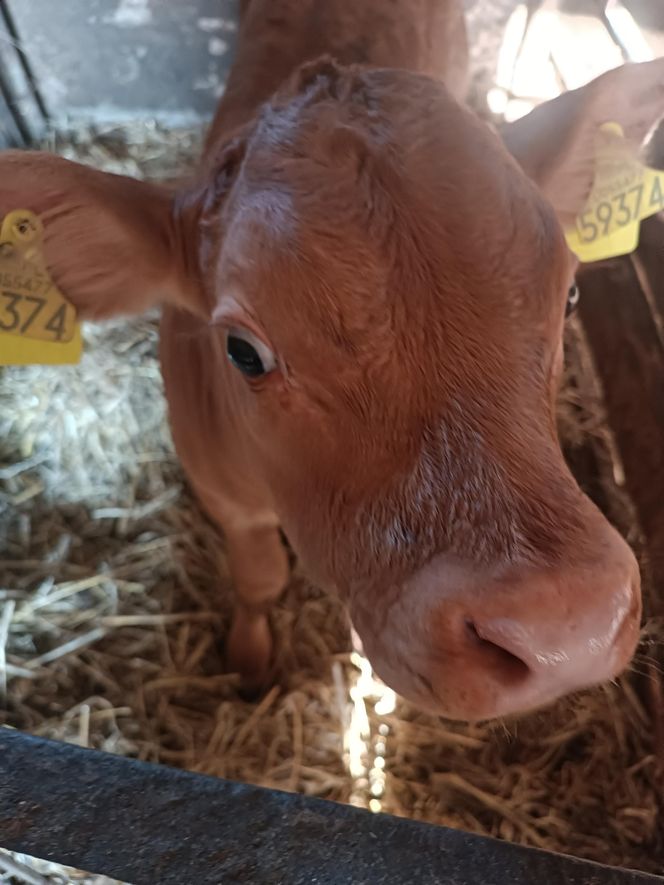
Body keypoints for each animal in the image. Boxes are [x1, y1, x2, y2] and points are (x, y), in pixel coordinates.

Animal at [2, 0, 660, 720]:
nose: (565, 626)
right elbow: (259, 576)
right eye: (242, 351)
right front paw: (251, 659)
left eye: (570, 296)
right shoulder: (220, 491)